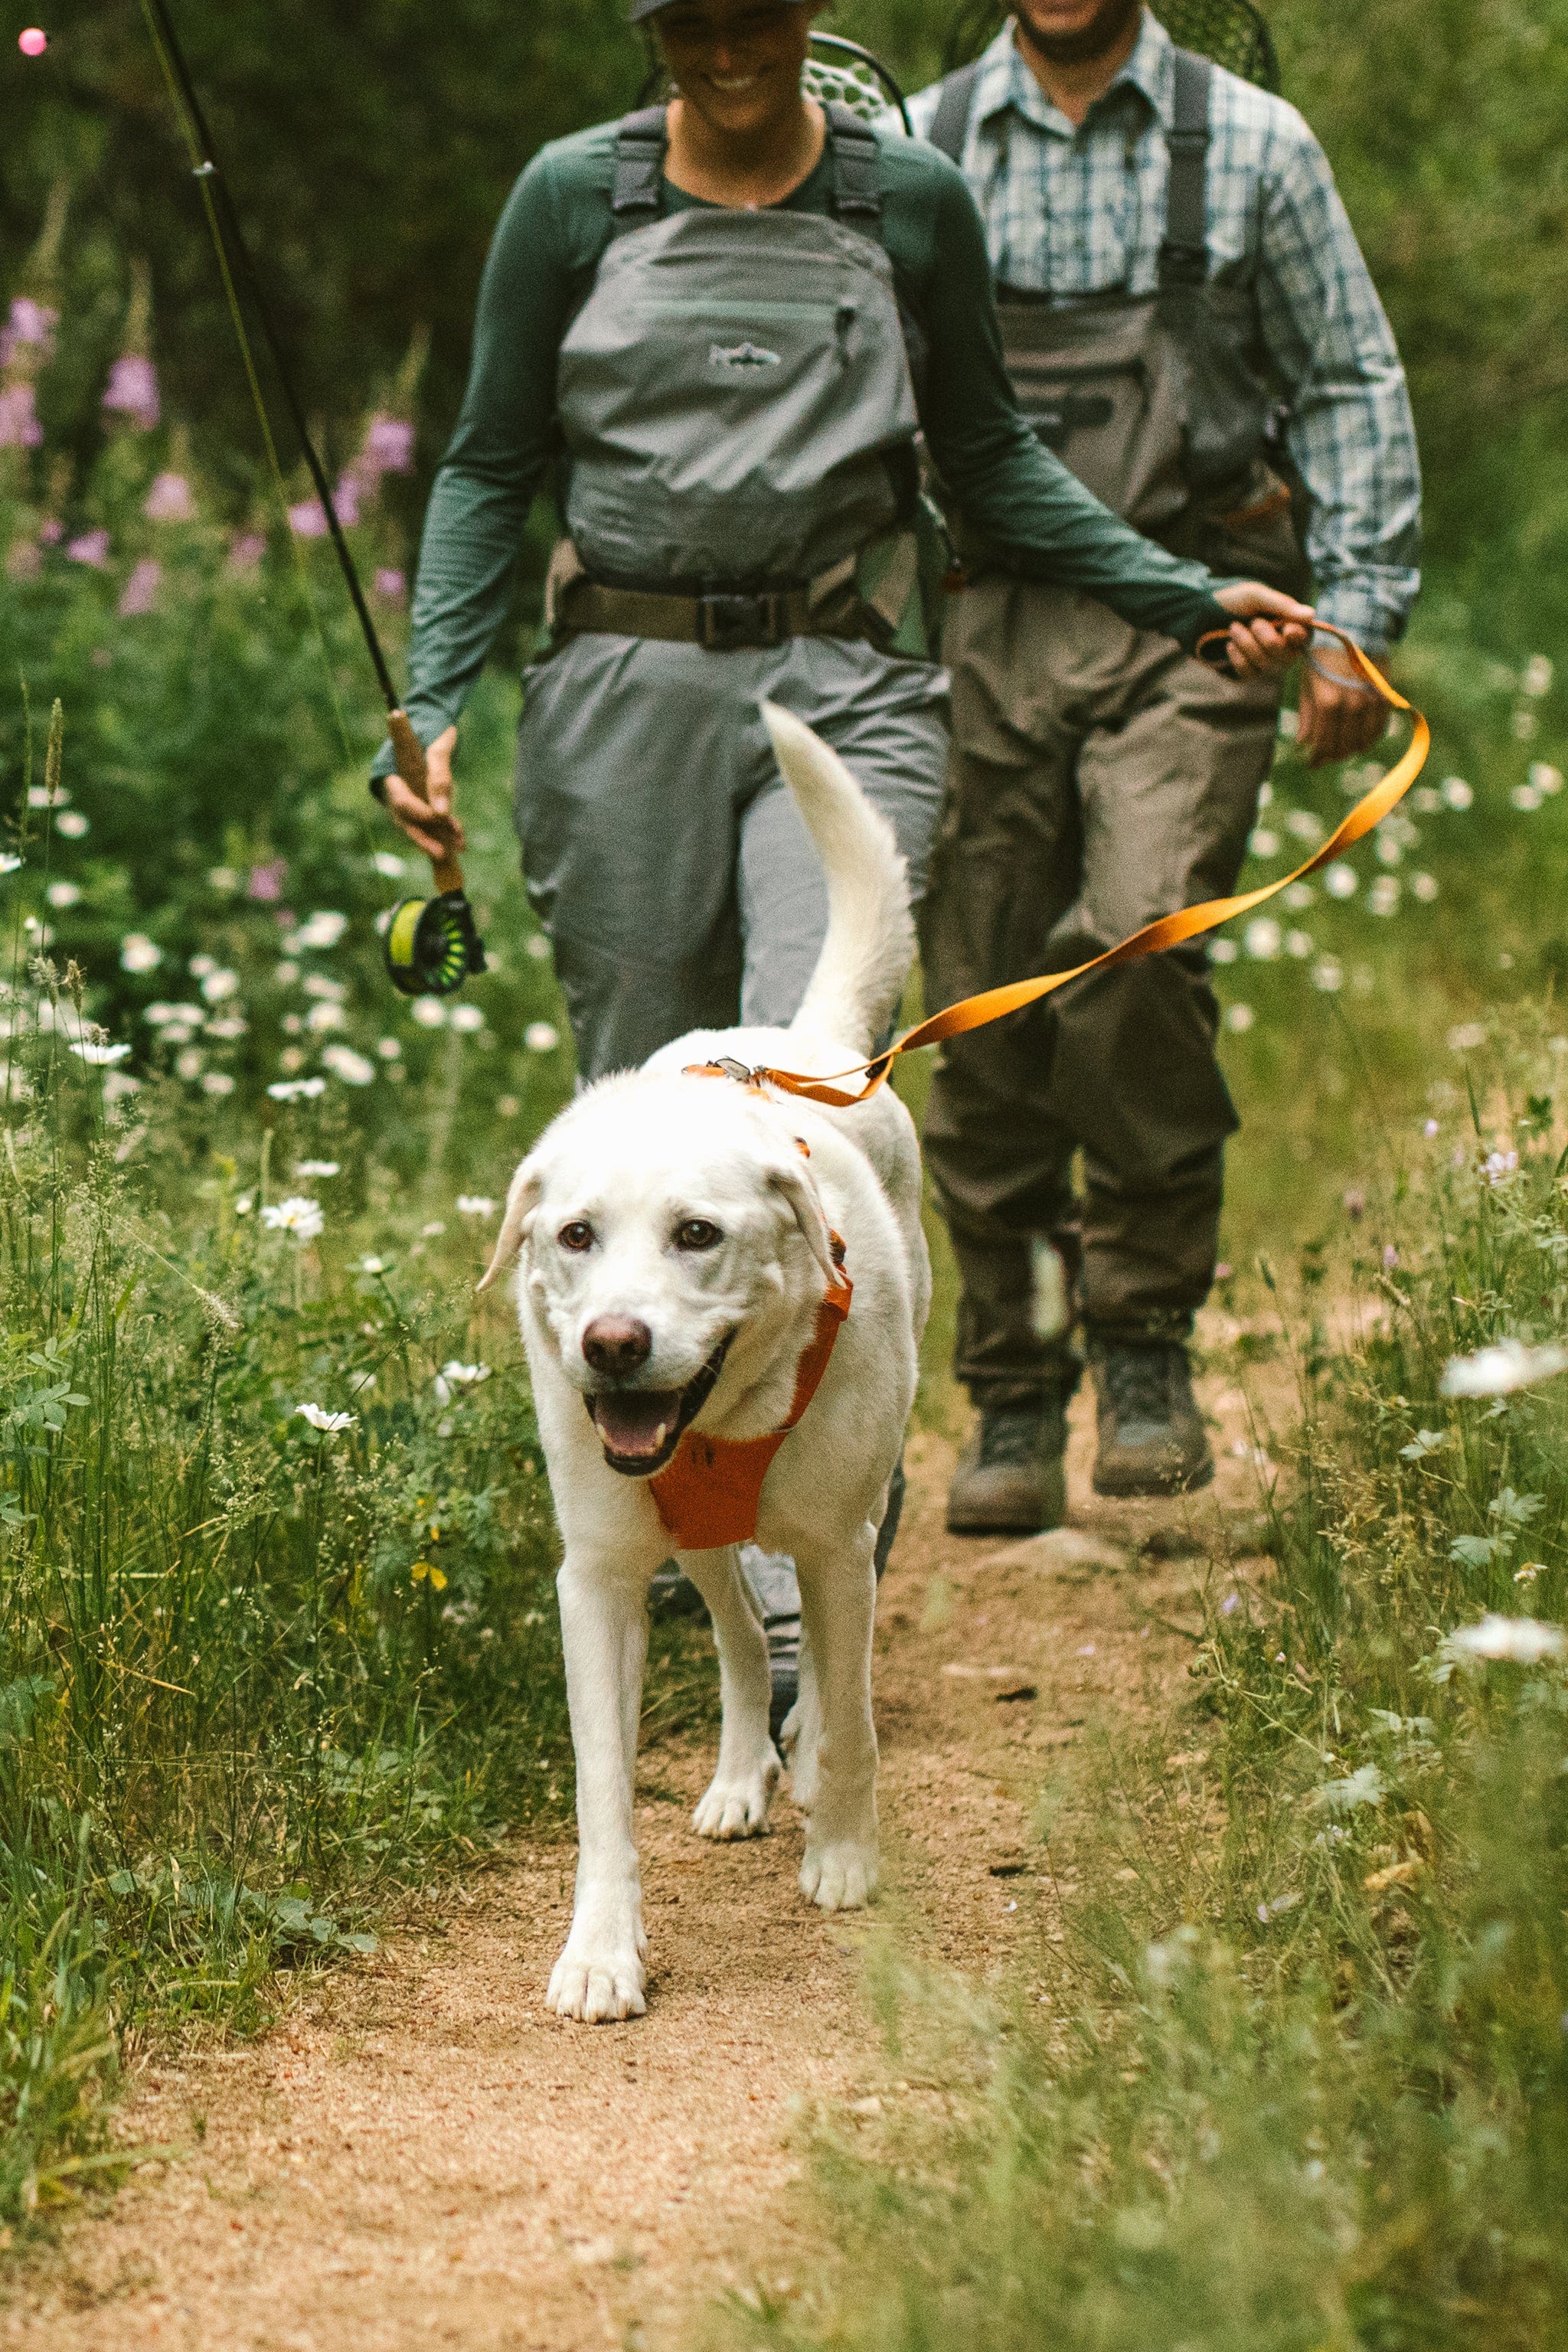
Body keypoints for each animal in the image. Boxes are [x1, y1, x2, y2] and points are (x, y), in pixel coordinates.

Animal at [482, 701, 930, 2022]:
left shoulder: (834, 1546)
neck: (728, 1416)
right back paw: (740, 1778)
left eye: (698, 1235)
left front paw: (845, 1857)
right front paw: (601, 1951)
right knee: (738, 1637)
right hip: (699, 1542)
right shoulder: (599, 1577)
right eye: (575, 1235)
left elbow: (854, 1718)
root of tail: (803, 1041)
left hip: (853, 1513)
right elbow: (601, 1794)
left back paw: (805, 1772)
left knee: (822, 1667)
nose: (612, 1345)